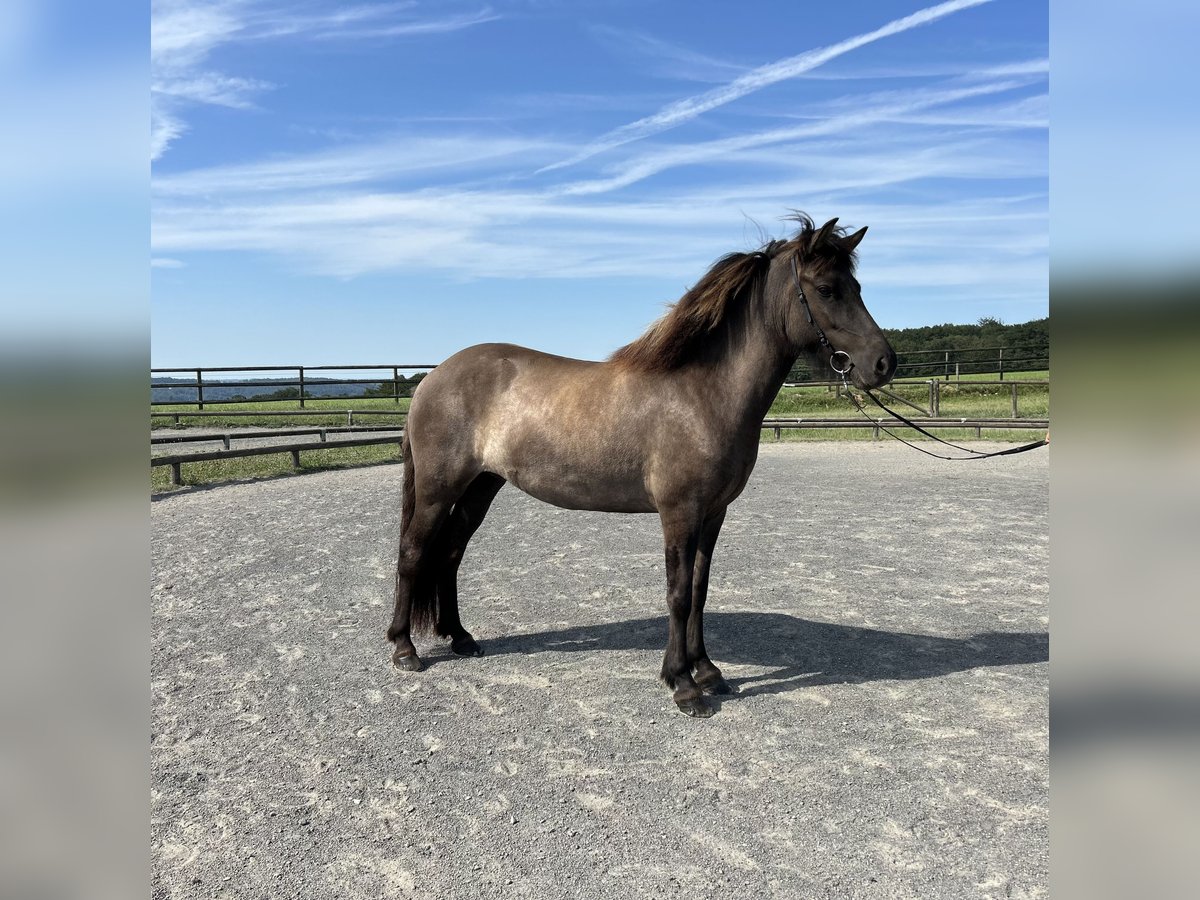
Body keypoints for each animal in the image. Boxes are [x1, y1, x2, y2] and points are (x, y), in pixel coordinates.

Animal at [384, 217, 892, 720]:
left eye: (856, 286)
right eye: (826, 289)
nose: (883, 363)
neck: (703, 393)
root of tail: (432, 378)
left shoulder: (713, 513)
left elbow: (700, 590)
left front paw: (708, 671)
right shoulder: (680, 512)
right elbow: (678, 593)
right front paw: (683, 684)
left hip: (481, 486)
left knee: (450, 553)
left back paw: (461, 638)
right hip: (438, 488)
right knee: (413, 551)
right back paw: (404, 649)